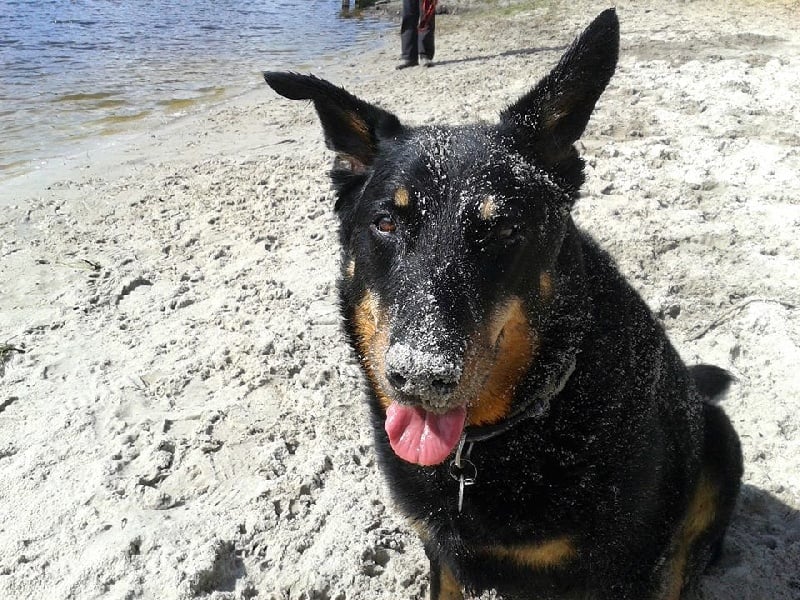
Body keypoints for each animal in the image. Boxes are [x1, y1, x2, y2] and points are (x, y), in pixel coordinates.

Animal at [264, 9, 744, 600]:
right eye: (385, 223)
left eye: (505, 229)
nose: (420, 376)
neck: (483, 444)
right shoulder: (441, 552)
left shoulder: (620, 571)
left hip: (719, 448)